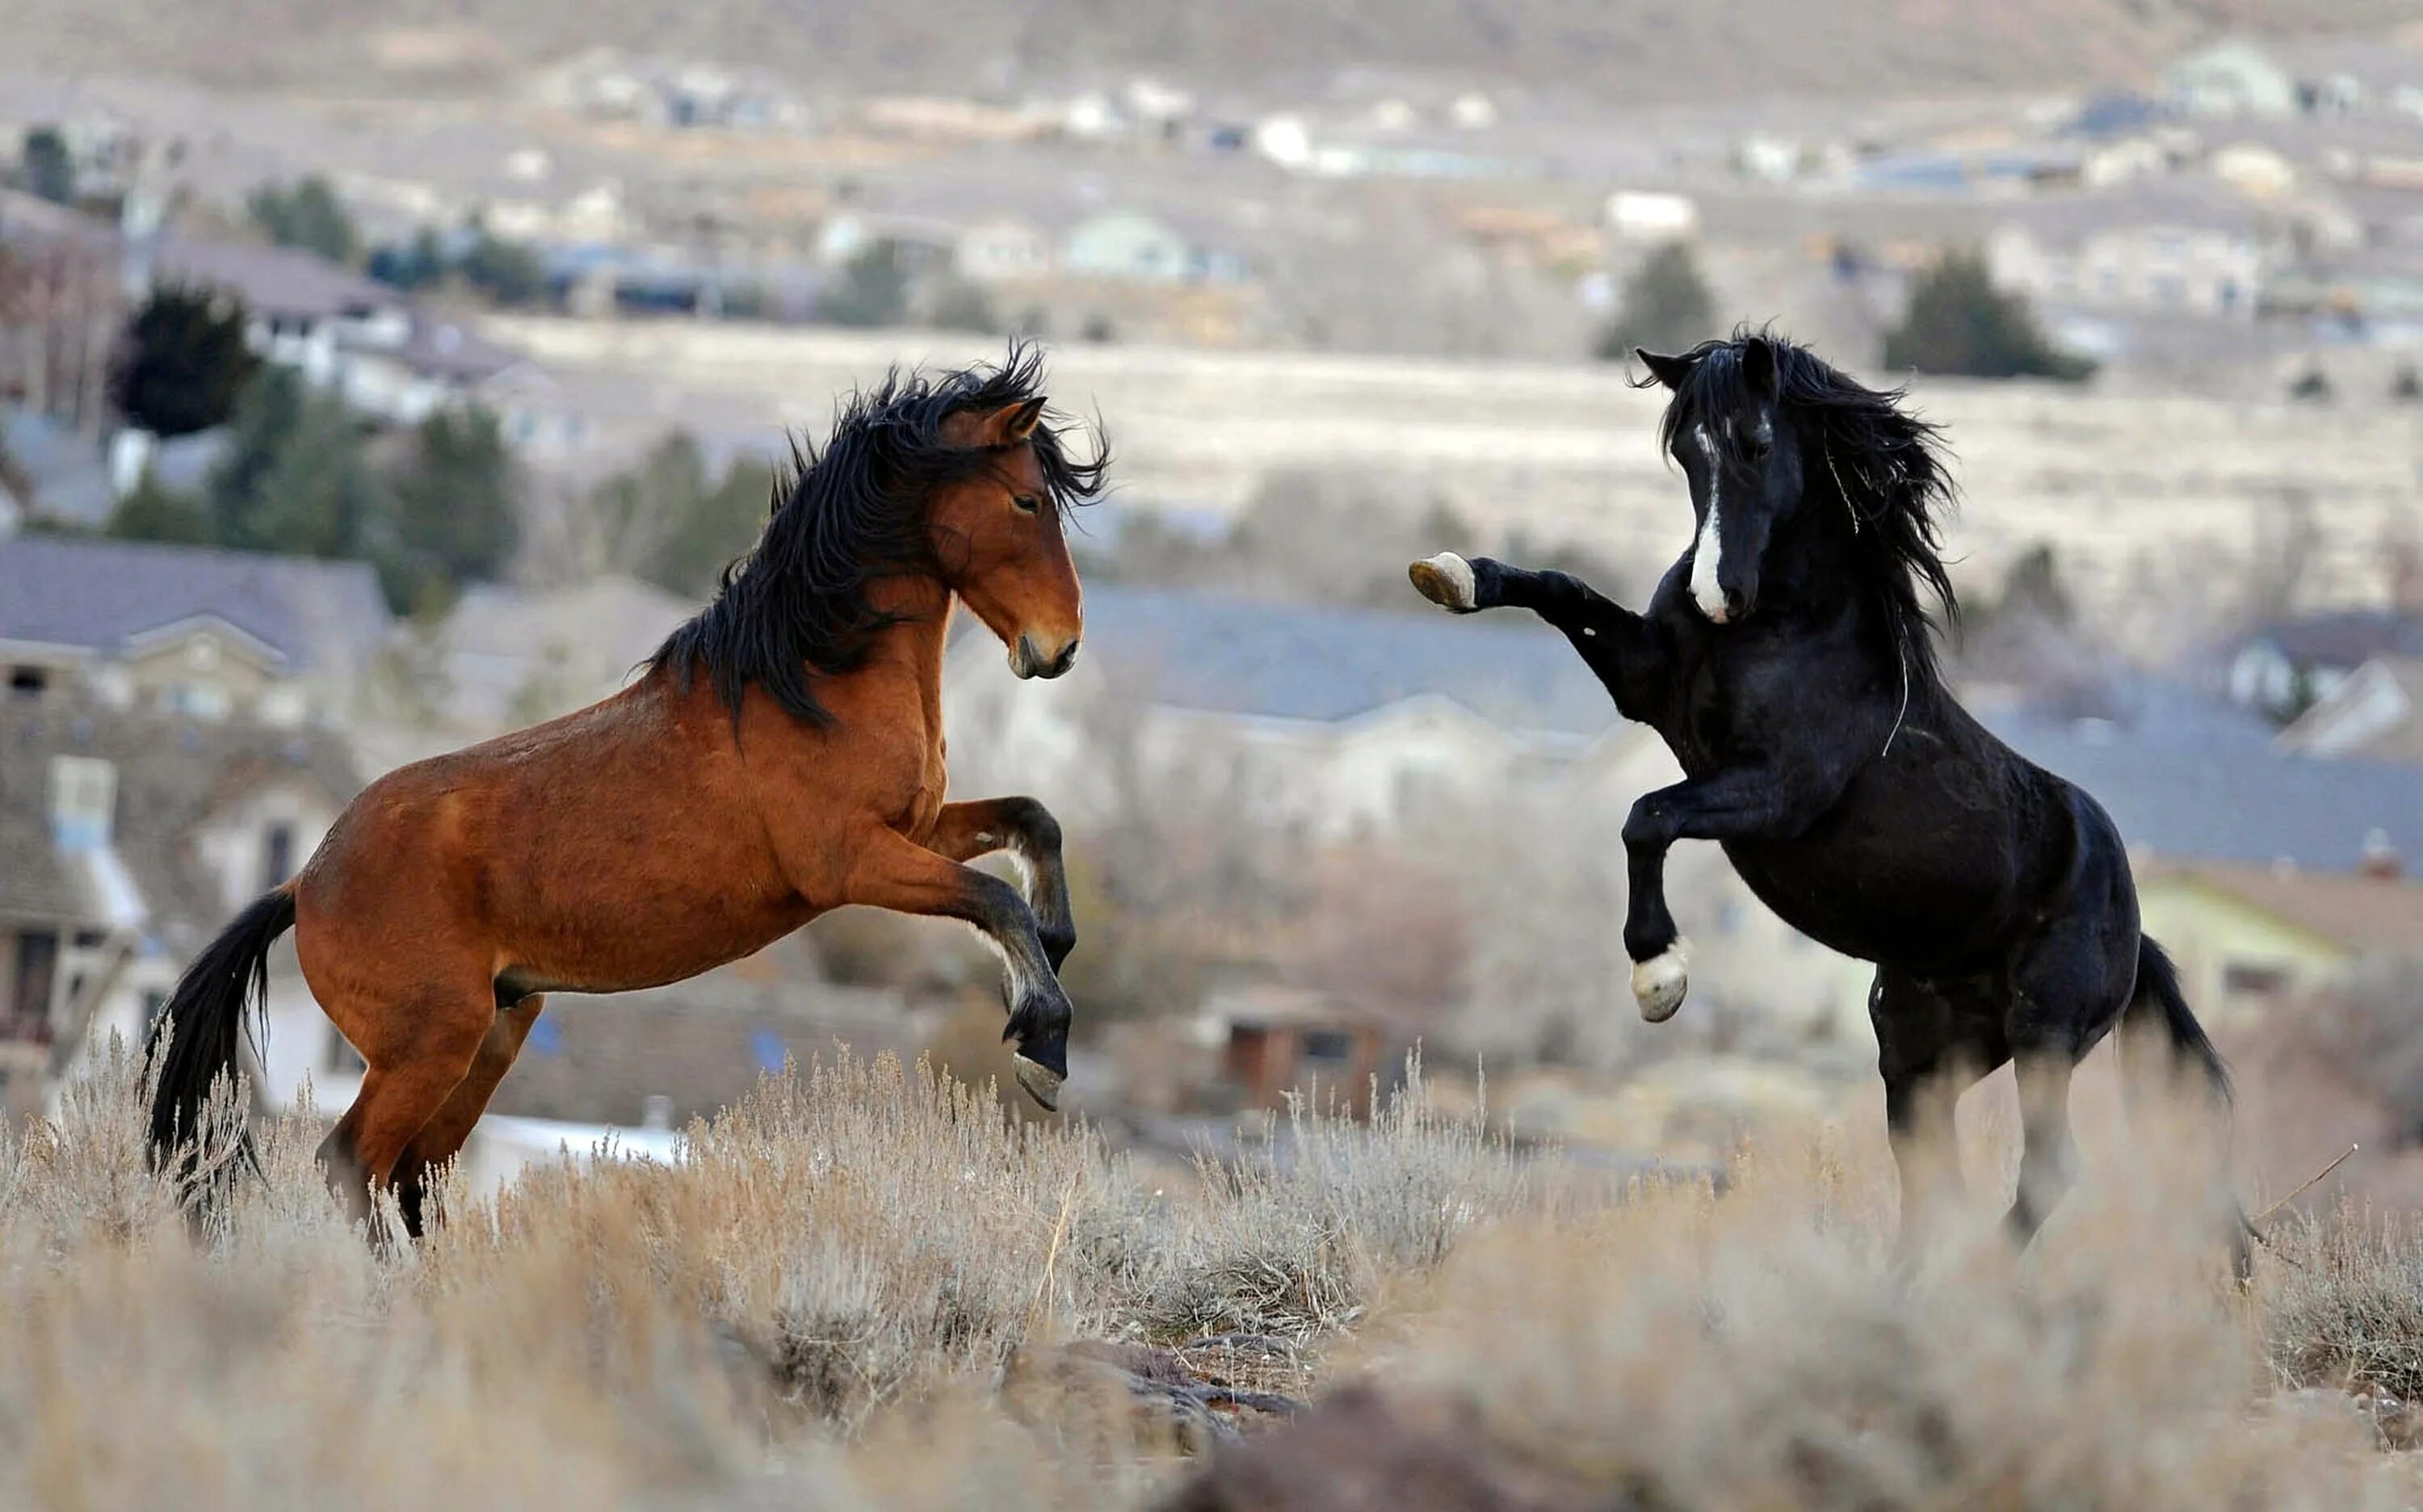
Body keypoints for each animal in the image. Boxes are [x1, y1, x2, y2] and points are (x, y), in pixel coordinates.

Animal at [146, 349, 1105, 1236]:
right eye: (1027, 503)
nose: (1059, 646)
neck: (810, 677)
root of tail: (303, 884)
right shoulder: (853, 862)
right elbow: (992, 899)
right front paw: (1043, 1044)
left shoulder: (919, 827)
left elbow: (1035, 824)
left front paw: (1055, 953)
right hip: (430, 1046)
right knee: (351, 1165)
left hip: (492, 1036)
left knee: (412, 1178)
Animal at [1415, 330, 2229, 1250]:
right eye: (1684, 451)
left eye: (1757, 443)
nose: (1717, 595)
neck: (1782, 628)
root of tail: (2134, 926)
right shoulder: (1645, 682)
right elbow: (1562, 589)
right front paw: (1452, 574)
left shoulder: (1774, 794)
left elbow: (1646, 817)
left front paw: (1659, 977)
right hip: (1923, 1055)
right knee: (1932, 1175)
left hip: (2044, 1033)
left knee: (2048, 1172)